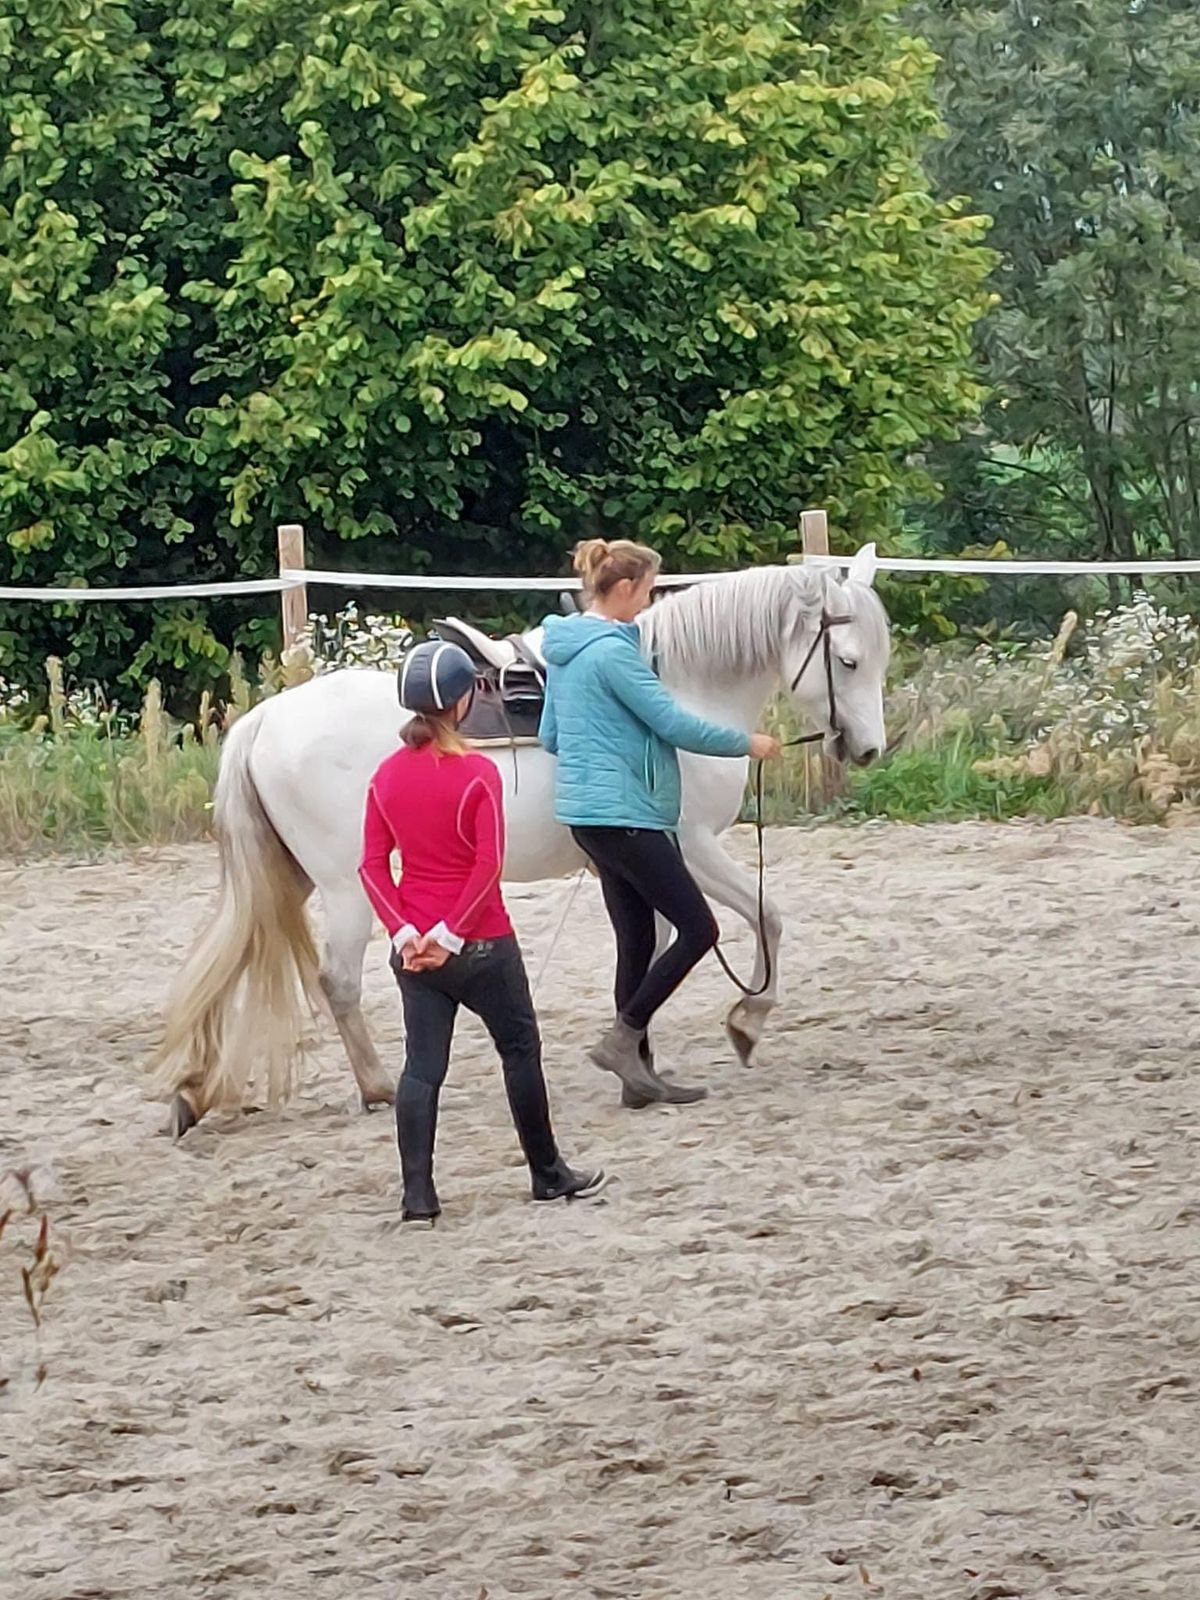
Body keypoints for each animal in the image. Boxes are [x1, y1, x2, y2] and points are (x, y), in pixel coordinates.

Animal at [157, 556, 896, 1132]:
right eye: (848, 660)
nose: (867, 749)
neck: (676, 690)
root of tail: (264, 720)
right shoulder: (687, 849)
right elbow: (760, 917)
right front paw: (747, 1019)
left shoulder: (633, 865)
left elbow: (648, 949)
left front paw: (640, 1065)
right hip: (345, 886)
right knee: (336, 981)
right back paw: (378, 1087)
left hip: (292, 876)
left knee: (234, 959)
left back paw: (196, 1091)